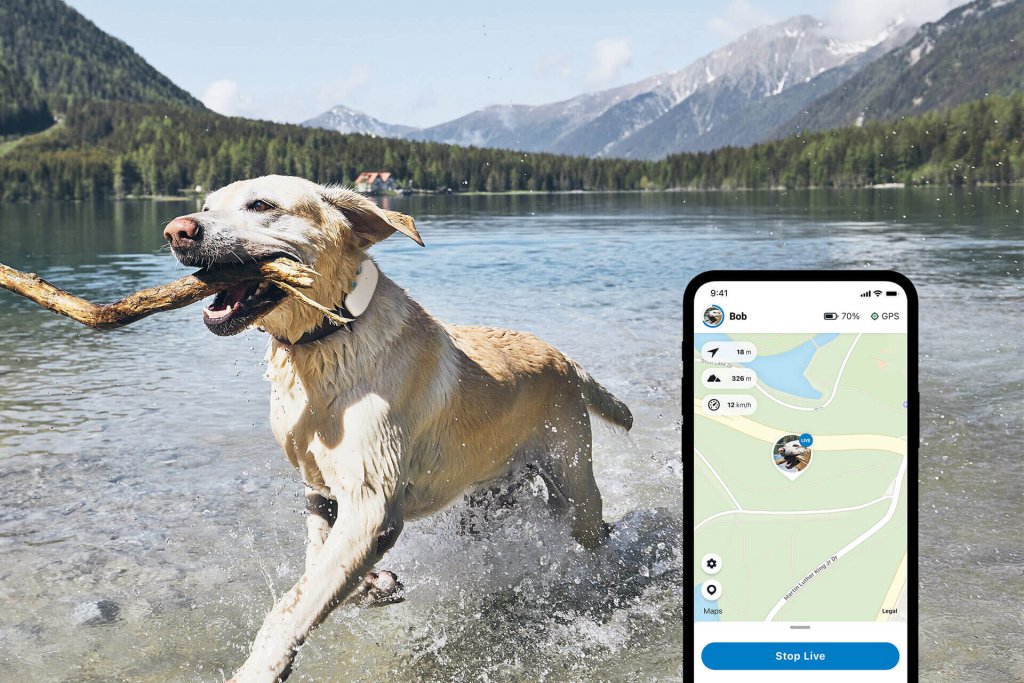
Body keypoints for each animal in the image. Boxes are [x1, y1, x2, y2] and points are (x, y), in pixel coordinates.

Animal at [160, 178, 630, 683]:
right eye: (206, 206)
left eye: (261, 204)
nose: (176, 230)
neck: (325, 341)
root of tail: (565, 360)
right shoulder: (319, 489)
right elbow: (317, 562)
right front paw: (372, 585)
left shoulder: (372, 504)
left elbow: (293, 606)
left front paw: (262, 666)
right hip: (485, 502)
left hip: (574, 482)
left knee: (594, 529)